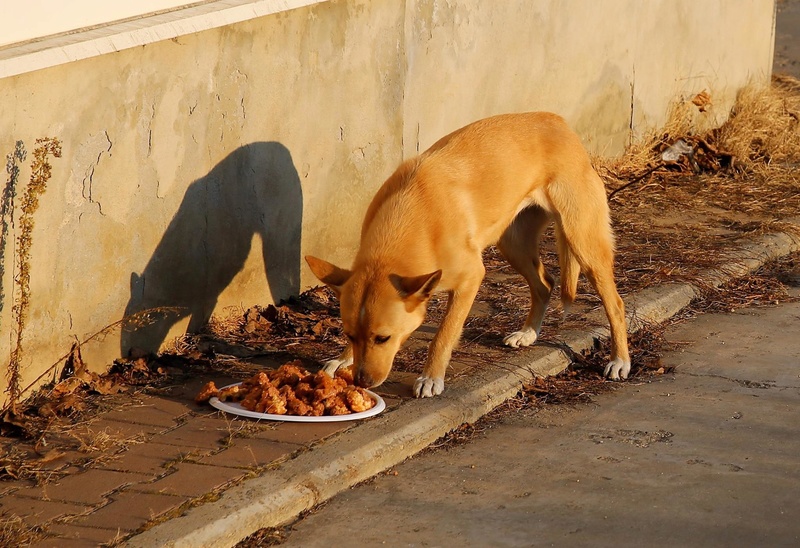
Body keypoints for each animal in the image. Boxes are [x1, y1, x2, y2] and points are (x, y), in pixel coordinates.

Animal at [306, 111, 632, 396]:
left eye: (383, 338)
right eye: (349, 335)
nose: (361, 382)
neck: (411, 217)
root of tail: (557, 121)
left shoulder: (470, 278)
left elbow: (443, 335)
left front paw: (431, 378)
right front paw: (343, 359)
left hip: (583, 243)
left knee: (615, 304)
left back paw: (619, 361)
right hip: (513, 246)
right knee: (544, 283)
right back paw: (528, 333)